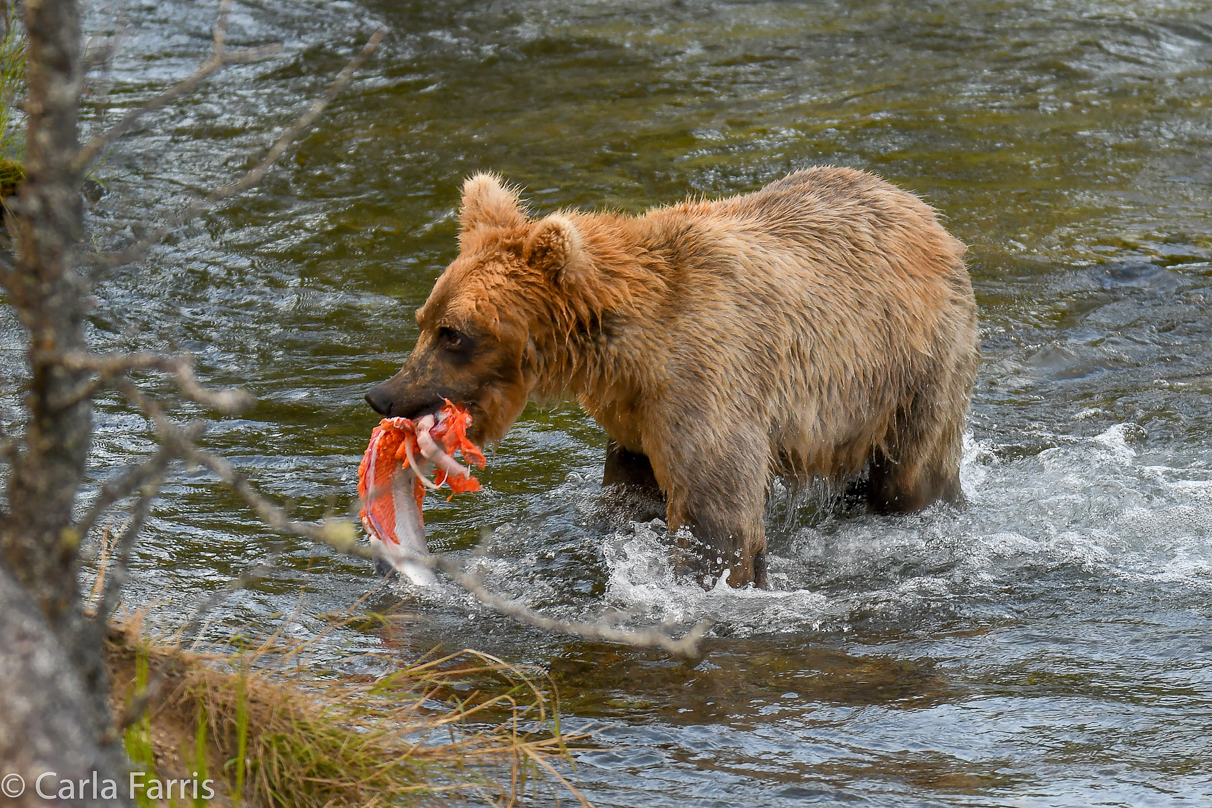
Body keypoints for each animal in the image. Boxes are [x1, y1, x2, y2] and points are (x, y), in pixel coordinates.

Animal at [363, 169, 979, 588]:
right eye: (425, 320)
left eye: (454, 333)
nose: (382, 395)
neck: (625, 351)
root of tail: (925, 213)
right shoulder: (634, 413)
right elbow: (630, 494)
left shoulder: (708, 379)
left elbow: (717, 516)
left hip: (914, 363)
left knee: (912, 471)